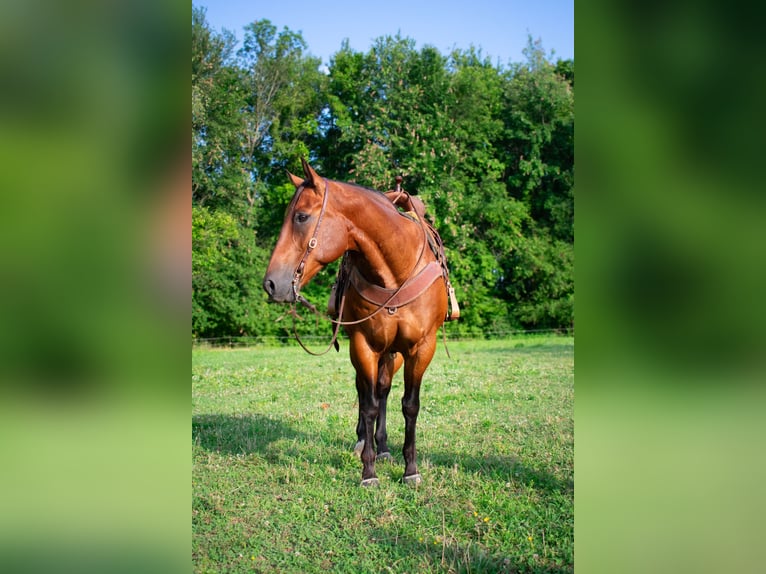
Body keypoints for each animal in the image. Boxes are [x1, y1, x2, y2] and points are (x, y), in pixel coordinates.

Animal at [266, 160, 456, 488]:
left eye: (302, 216)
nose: (271, 284)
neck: (395, 272)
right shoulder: (363, 345)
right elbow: (367, 404)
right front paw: (368, 472)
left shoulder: (421, 348)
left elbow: (409, 404)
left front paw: (410, 469)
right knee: (366, 391)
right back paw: (364, 443)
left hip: (393, 354)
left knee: (384, 390)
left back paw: (383, 447)